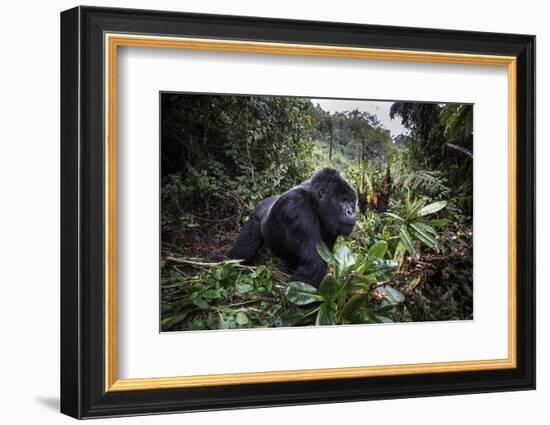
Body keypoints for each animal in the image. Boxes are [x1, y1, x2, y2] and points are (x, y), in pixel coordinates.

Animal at [227, 167, 358, 286]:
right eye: (342, 200)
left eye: (351, 201)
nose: (350, 212)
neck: (315, 201)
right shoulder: (297, 207)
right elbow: (314, 265)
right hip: (255, 217)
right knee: (243, 250)